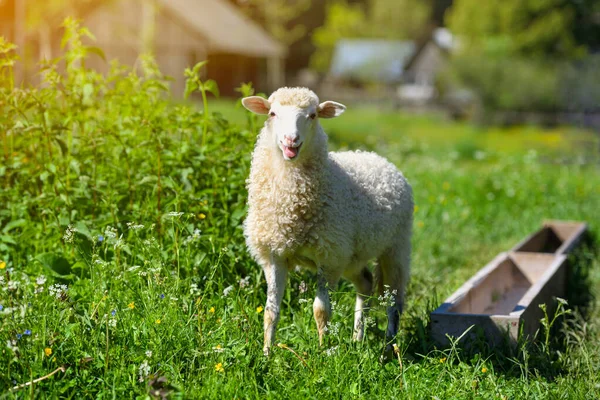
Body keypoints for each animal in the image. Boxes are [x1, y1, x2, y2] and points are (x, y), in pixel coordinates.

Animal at [240, 87, 412, 356]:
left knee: (394, 301)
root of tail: (378, 158)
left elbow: (321, 310)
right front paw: (267, 353)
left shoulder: (328, 256)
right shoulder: (274, 254)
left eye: (312, 115)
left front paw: (322, 352)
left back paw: (388, 348)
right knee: (366, 283)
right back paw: (357, 338)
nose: (291, 141)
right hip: (352, 255)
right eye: (272, 113)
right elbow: (270, 311)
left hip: (396, 247)